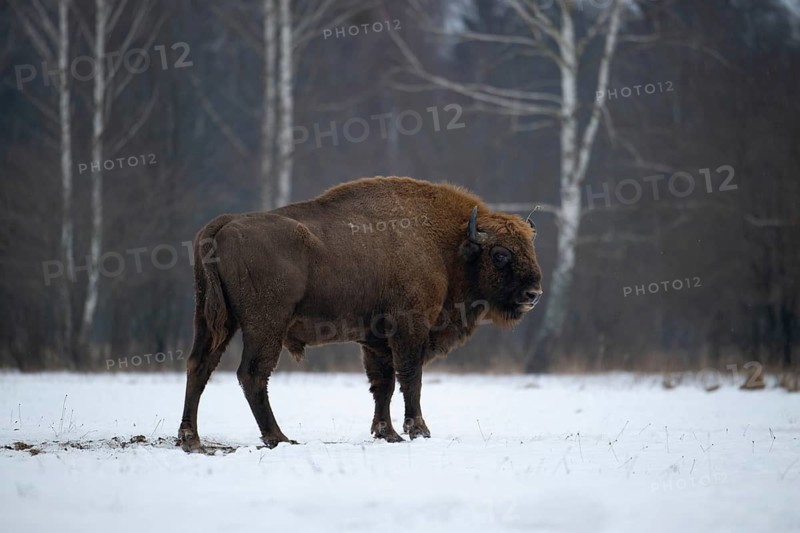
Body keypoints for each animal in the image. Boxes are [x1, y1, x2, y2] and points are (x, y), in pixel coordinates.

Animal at [178, 176, 543, 451]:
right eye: (500, 254)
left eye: (529, 247)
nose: (533, 294)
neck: (447, 246)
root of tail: (224, 224)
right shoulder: (410, 328)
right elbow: (410, 378)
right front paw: (419, 430)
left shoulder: (376, 341)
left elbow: (383, 383)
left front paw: (388, 433)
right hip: (265, 326)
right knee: (252, 374)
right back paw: (278, 438)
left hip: (211, 321)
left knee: (199, 366)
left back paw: (191, 439)